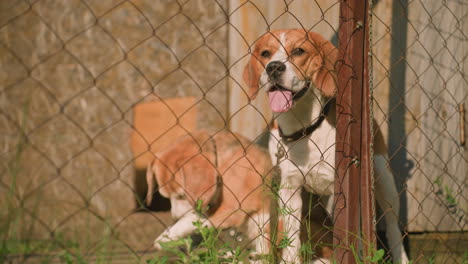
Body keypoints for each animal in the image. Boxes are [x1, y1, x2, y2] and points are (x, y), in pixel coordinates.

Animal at [243, 28, 408, 264]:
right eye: (265, 53)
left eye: (299, 51)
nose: (273, 67)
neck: (306, 128)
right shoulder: (290, 189)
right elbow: (292, 240)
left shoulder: (343, 191)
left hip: (384, 182)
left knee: (393, 226)